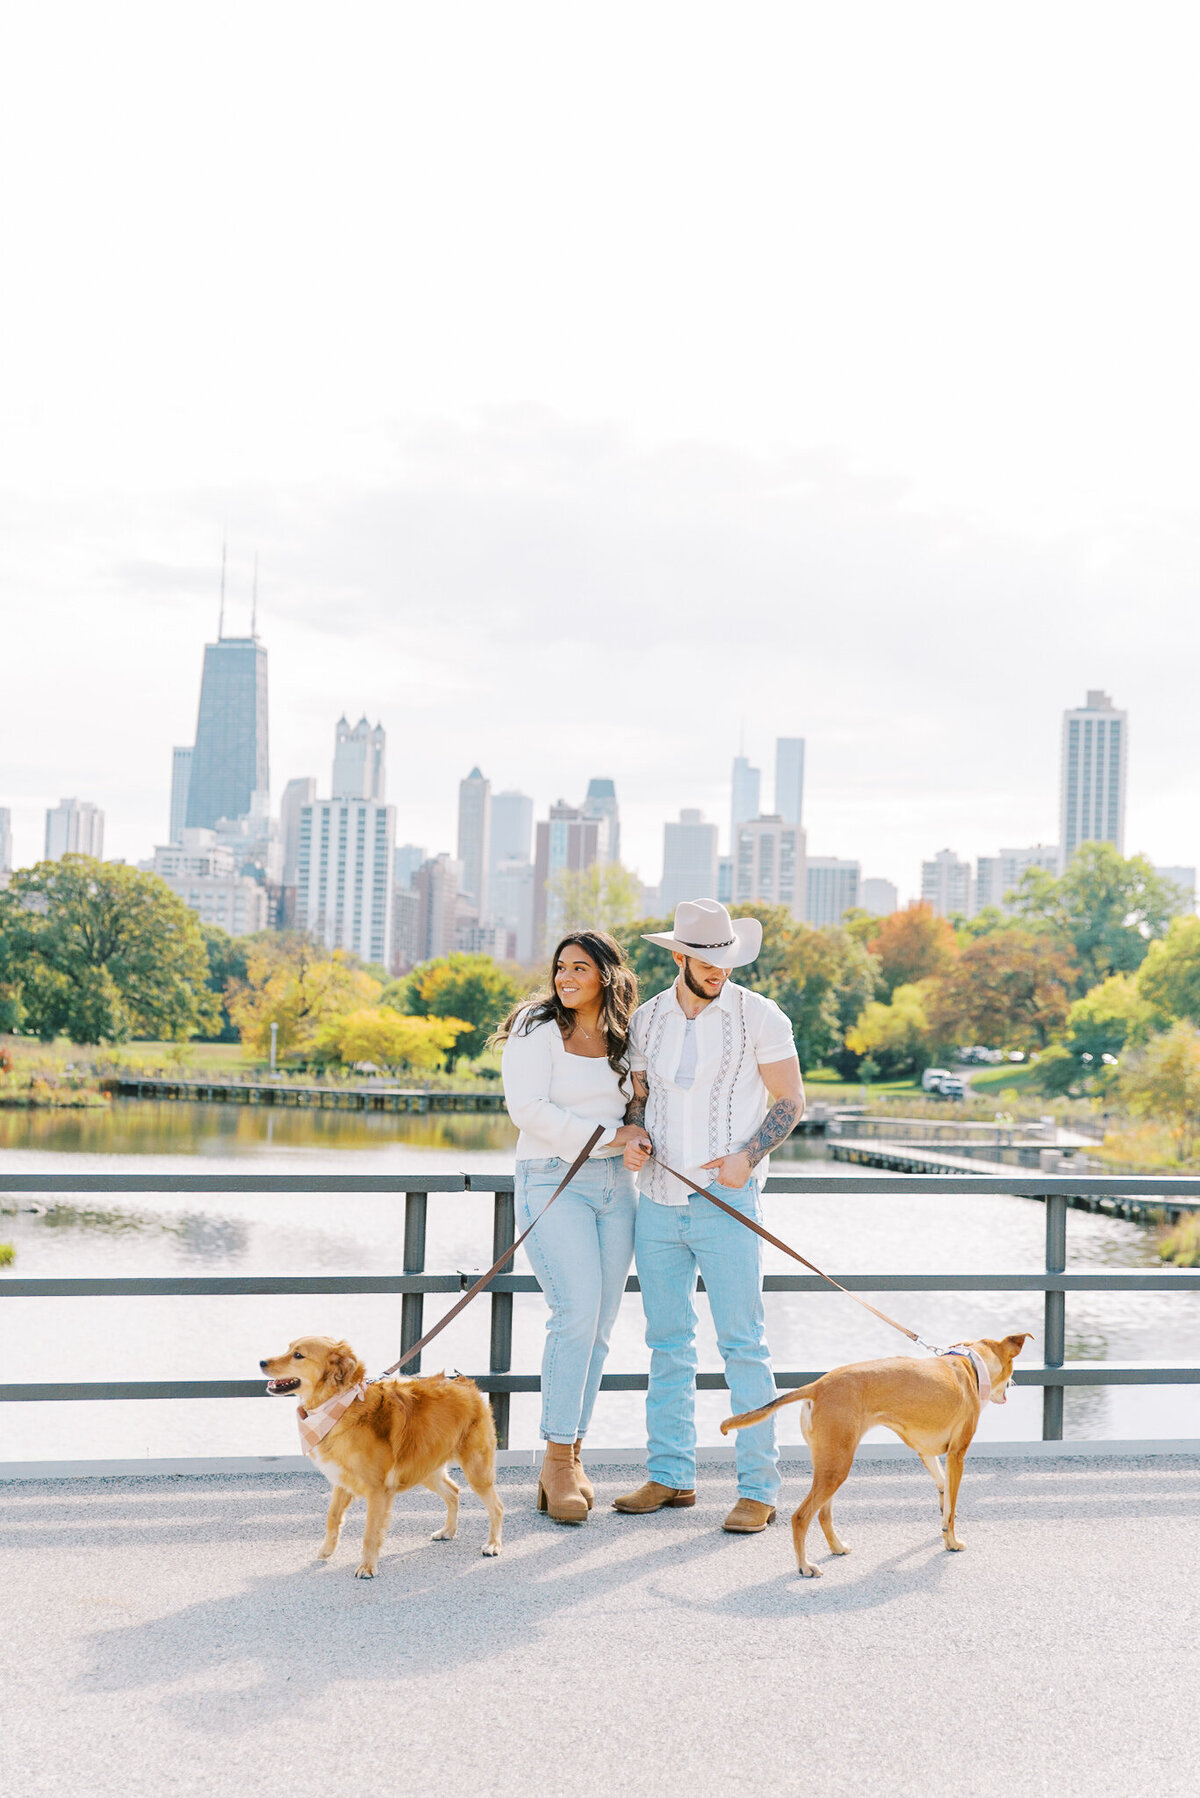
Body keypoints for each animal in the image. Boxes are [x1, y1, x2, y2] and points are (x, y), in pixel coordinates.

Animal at [260, 1337, 503, 1575]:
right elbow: (333, 1517)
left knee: (496, 1507)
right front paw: (326, 1550)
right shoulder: (342, 1481)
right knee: (454, 1492)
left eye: (298, 1355)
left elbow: (370, 1533)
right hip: (425, 1469)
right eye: (288, 1348)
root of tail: (465, 1384)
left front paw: (367, 1567)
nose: (261, 1362)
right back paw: (448, 1530)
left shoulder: (377, 1491)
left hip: (476, 1470)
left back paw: (493, 1544)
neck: (339, 1405)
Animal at [723, 1337, 1036, 1575]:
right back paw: (804, 1566)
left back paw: (837, 1547)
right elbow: (952, 1506)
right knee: (801, 1517)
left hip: (832, 1464)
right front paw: (952, 1541)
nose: (1013, 1385)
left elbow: (944, 1493)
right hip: (836, 1468)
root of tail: (818, 1385)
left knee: (823, 1514)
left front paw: (944, 1520)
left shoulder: (927, 1452)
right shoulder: (957, 1455)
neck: (970, 1365)